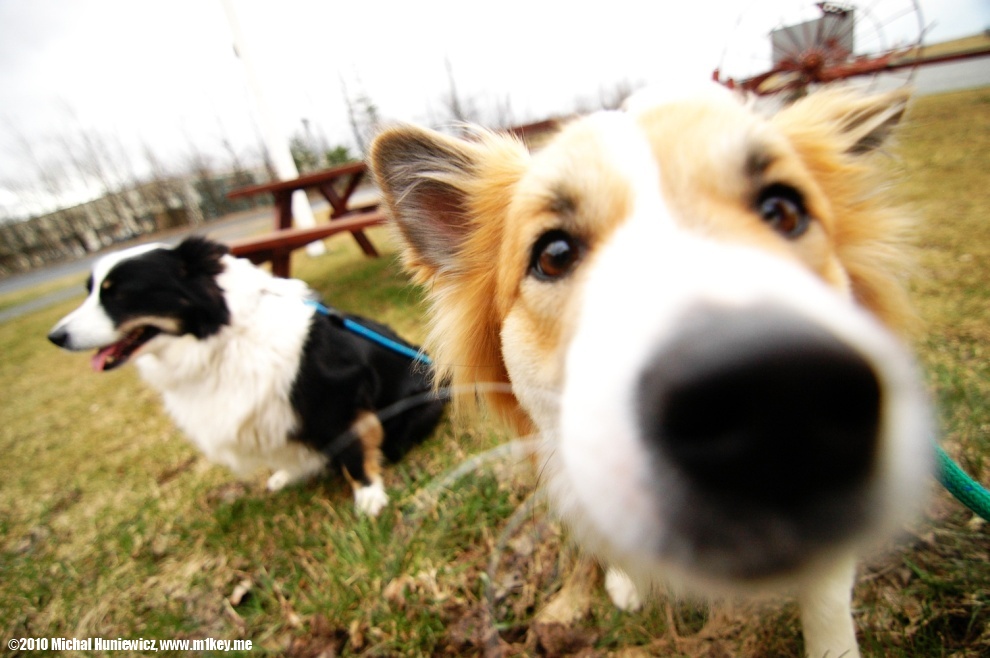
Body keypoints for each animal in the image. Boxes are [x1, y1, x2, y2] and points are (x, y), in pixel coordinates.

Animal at [50, 236, 446, 512]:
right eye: (91, 291)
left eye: (117, 294)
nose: (56, 337)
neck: (222, 336)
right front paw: (289, 474)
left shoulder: (339, 397)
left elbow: (353, 453)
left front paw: (369, 498)